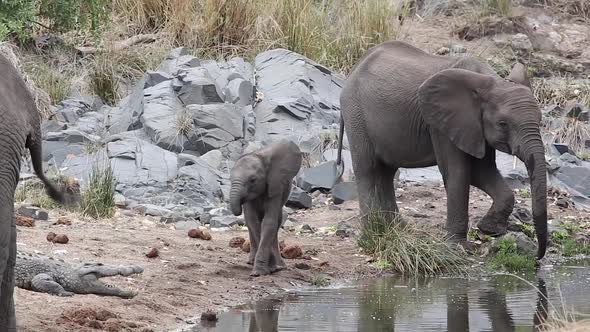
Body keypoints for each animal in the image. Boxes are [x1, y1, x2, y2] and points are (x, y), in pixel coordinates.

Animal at [230, 139, 302, 276]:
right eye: (230, 179)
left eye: (252, 180)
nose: (239, 206)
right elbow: (253, 222)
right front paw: (269, 267)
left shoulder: (275, 186)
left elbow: (269, 223)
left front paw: (264, 270)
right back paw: (252, 262)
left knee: (277, 221)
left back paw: (280, 265)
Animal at [338, 40, 552, 260]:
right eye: (503, 124)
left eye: (540, 121)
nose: (537, 256)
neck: (491, 81)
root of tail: (355, 67)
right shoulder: (441, 125)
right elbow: (458, 173)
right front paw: (458, 247)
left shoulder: (474, 128)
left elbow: (481, 172)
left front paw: (489, 229)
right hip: (356, 114)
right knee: (368, 169)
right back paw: (373, 233)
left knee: (386, 173)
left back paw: (397, 229)